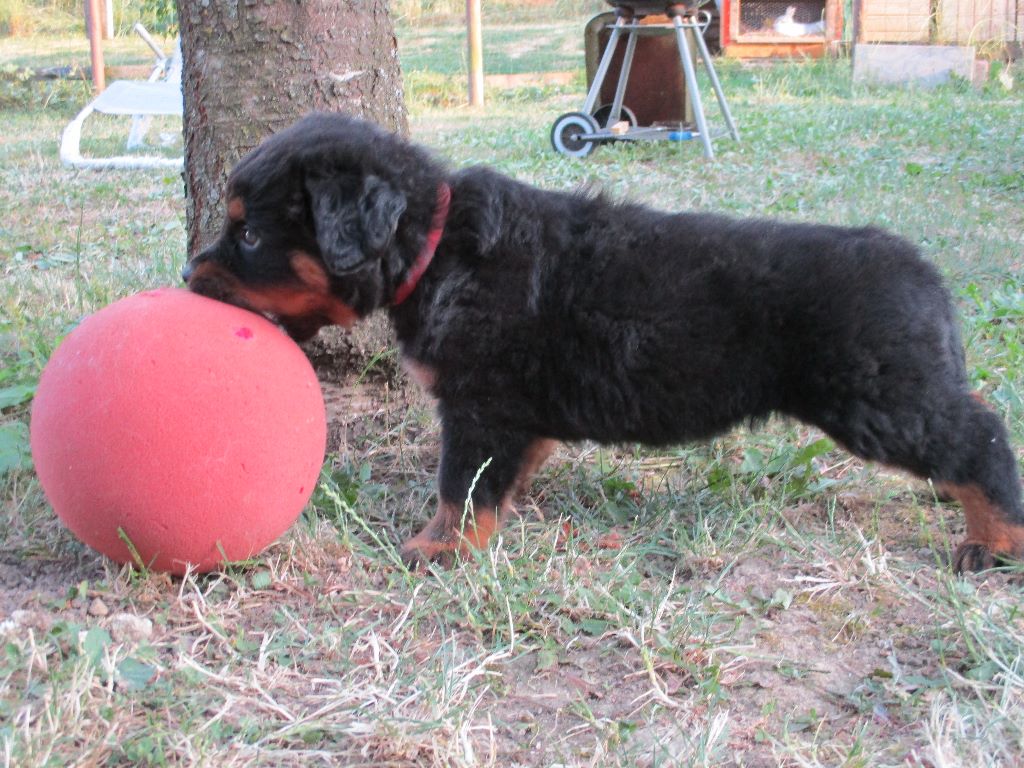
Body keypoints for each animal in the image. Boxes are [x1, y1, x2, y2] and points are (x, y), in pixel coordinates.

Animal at [183, 112, 1023, 572]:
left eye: (248, 234)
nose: (189, 276)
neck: (436, 248)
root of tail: (924, 272)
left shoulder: (478, 405)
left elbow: (459, 485)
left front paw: (440, 548)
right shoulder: (510, 414)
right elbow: (501, 474)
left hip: (877, 399)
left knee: (980, 433)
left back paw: (997, 541)